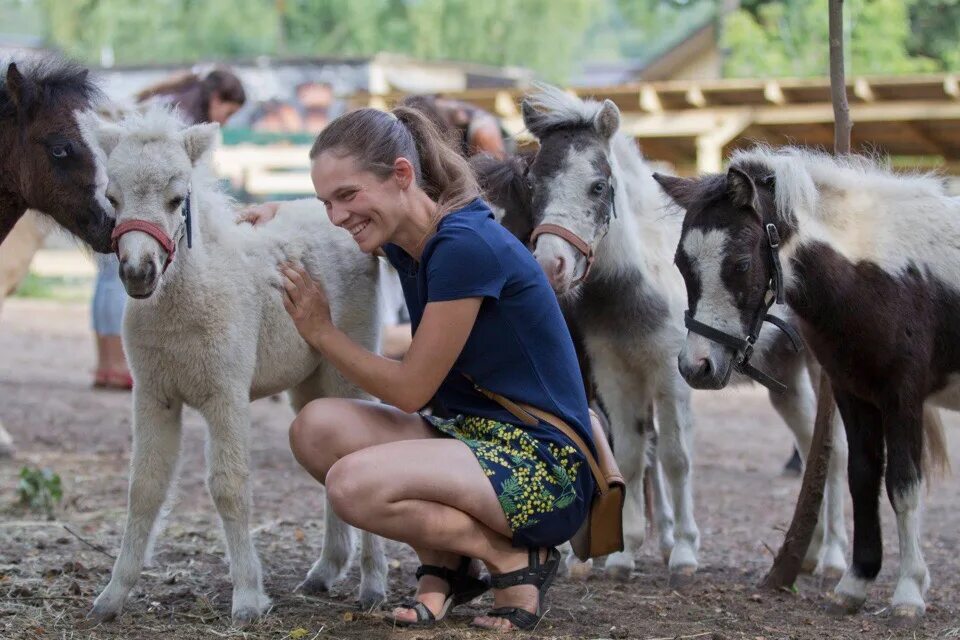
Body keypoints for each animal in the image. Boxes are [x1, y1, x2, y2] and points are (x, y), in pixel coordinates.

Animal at [78, 107, 386, 624]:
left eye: (176, 198)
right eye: (113, 199)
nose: (137, 273)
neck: (185, 302)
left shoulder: (227, 394)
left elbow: (229, 486)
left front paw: (247, 598)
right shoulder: (154, 395)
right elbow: (145, 487)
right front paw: (111, 596)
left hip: (350, 369)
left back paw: (373, 582)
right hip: (308, 382)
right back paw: (325, 570)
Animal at [474, 86, 848, 584]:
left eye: (598, 186)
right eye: (534, 186)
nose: (552, 265)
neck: (633, 283)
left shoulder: (674, 375)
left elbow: (674, 457)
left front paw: (685, 552)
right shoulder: (615, 376)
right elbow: (631, 455)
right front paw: (623, 553)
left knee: (834, 452)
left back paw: (834, 557)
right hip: (783, 375)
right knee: (810, 449)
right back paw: (810, 553)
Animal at [652, 149, 952, 620]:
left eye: (740, 264)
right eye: (683, 264)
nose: (697, 366)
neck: (881, 274)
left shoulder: (903, 397)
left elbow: (903, 486)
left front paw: (908, 592)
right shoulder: (853, 393)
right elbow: (862, 477)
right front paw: (855, 583)